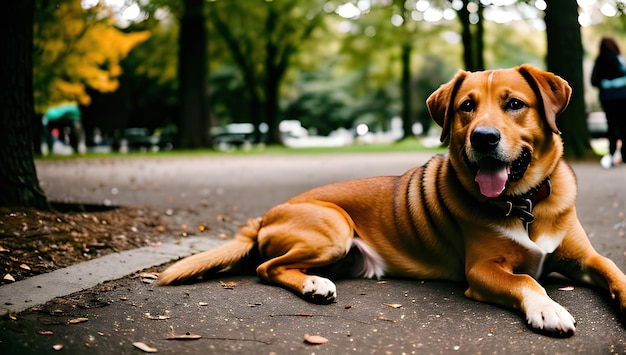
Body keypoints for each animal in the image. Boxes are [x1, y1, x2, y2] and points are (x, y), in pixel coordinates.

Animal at [160, 65, 624, 338]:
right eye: (467, 107)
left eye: (514, 104)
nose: (483, 138)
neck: (525, 204)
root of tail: (263, 217)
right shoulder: (482, 271)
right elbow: (527, 280)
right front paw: (547, 308)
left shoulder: (587, 258)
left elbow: (614, 271)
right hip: (334, 228)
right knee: (266, 267)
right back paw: (314, 285)